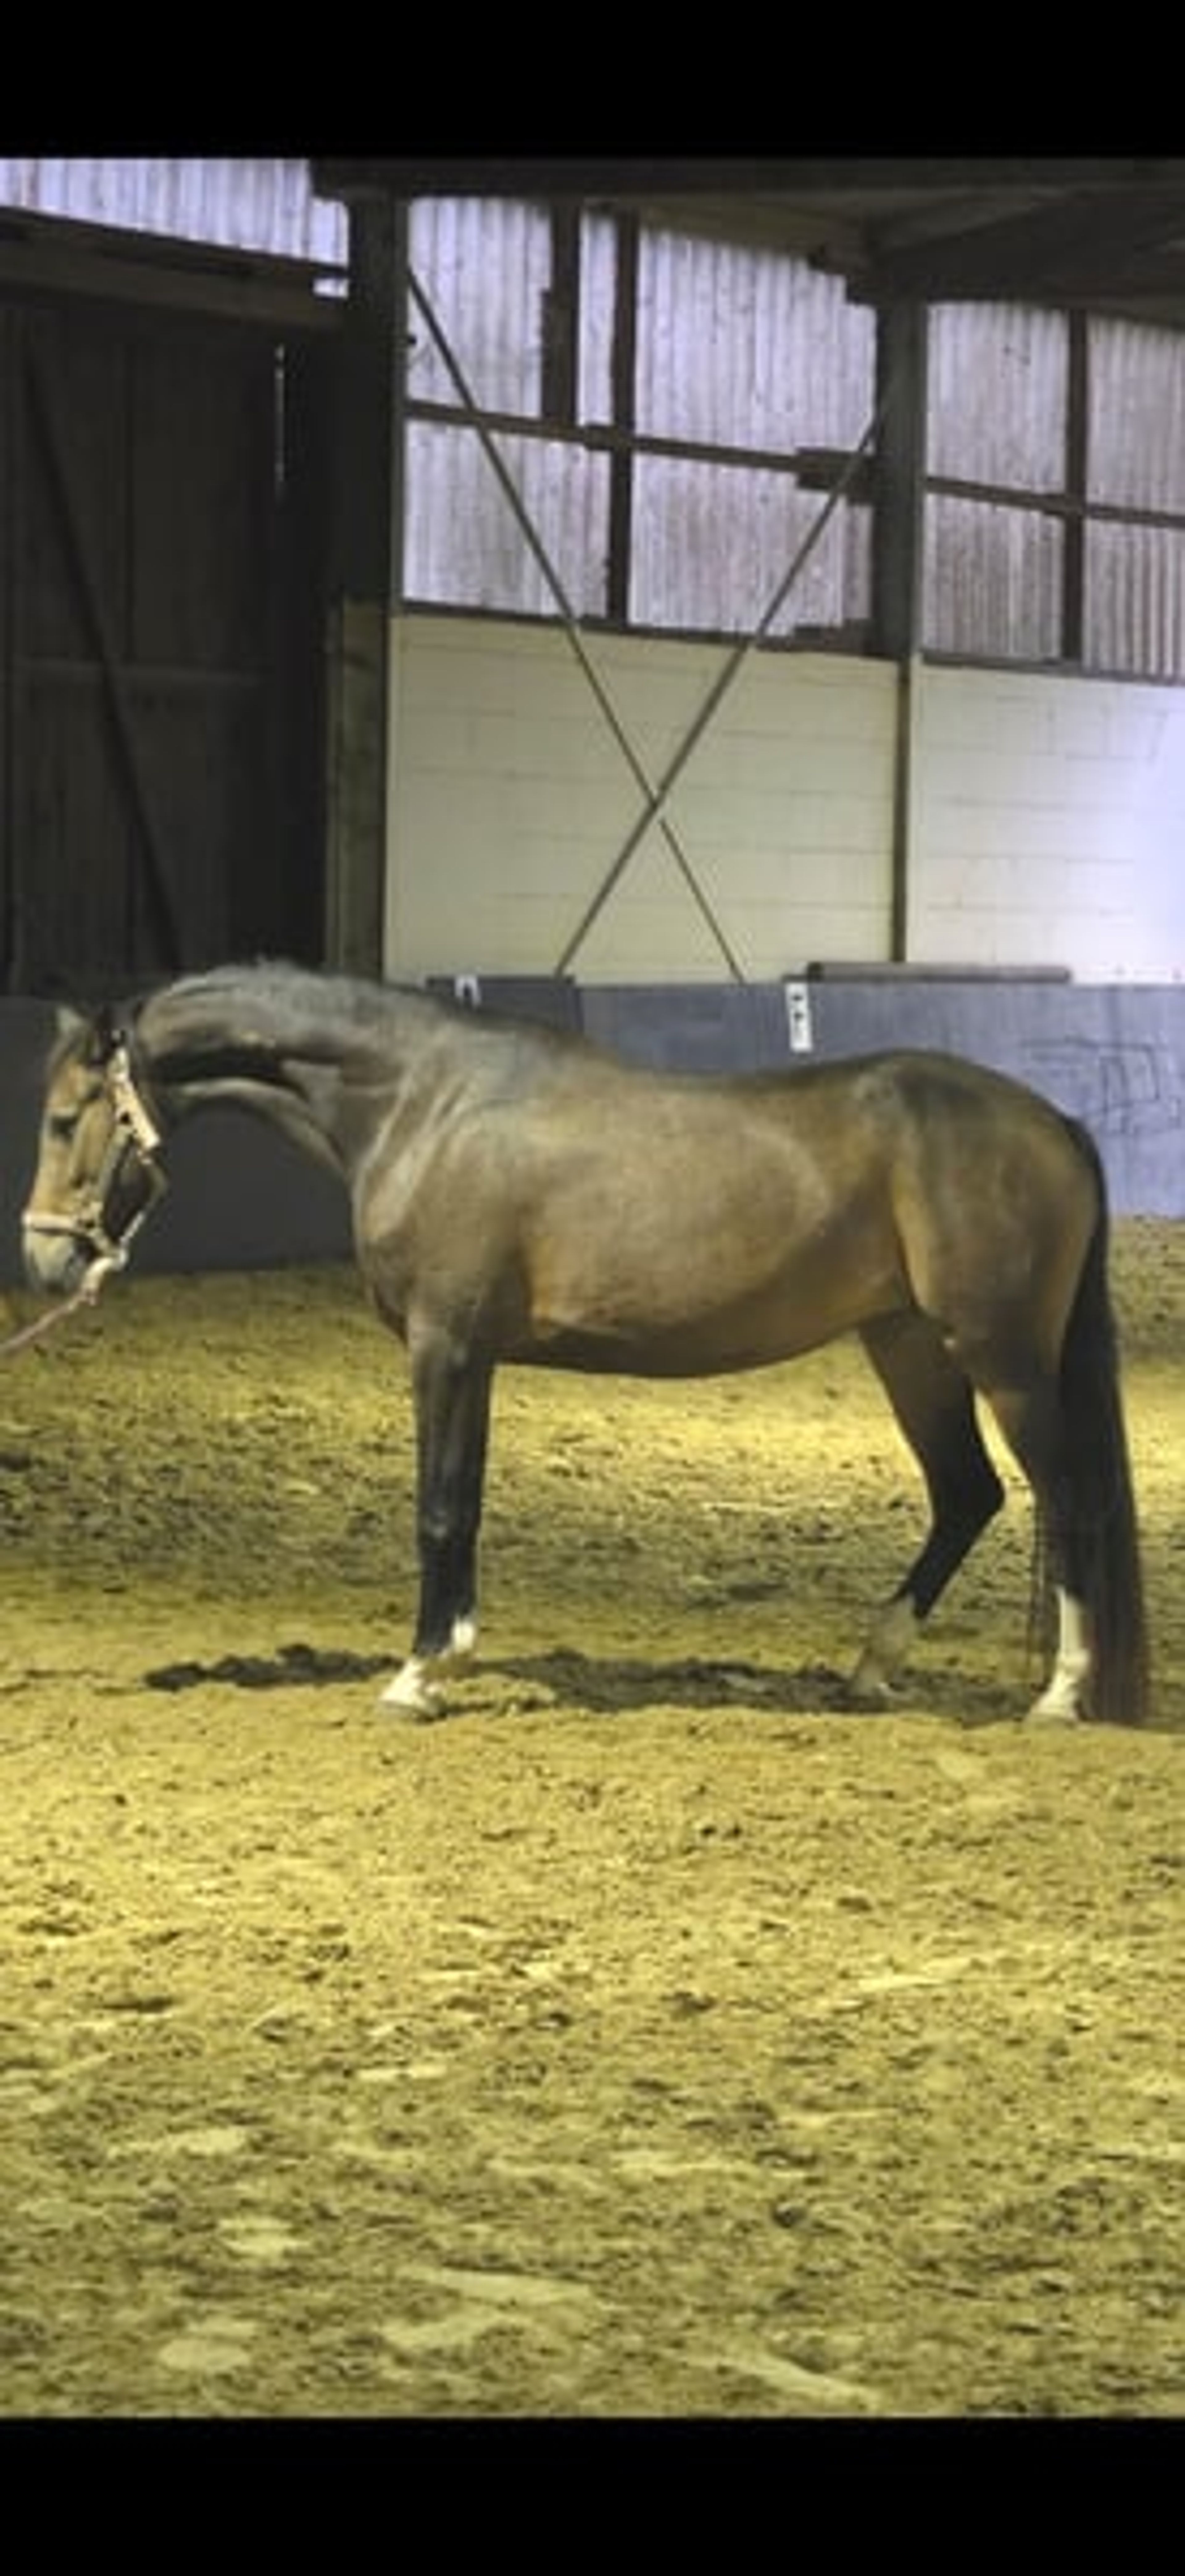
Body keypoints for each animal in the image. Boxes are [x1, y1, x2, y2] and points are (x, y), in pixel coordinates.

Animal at [21, 960, 1149, 1727]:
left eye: (65, 1116)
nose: (43, 1257)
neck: (423, 1104)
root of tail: (1053, 1120)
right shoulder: (474, 1355)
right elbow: (465, 1504)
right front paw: (452, 1655)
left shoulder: (443, 1344)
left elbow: (438, 1508)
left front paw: (417, 1674)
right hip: (909, 1346)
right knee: (969, 1494)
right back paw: (873, 1665)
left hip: (1000, 1356)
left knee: (1068, 1497)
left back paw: (1061, 1692)